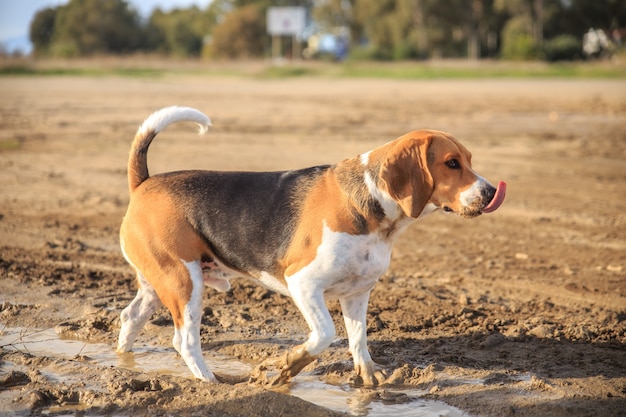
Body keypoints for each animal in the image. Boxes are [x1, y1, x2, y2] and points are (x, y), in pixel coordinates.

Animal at [117, 105, 504, 386]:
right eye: (451, 163)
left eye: (469, 160)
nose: (490, 193)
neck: (371, 205)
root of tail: (145, 183)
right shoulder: (303, 283)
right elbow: (324, 335)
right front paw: (288, 365)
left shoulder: (358, 292)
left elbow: (358, 338)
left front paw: (368, 375)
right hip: (184, 283)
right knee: (184, 341)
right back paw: (210, 383)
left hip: (159, 283)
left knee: (130, 316)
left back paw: (124, 360)